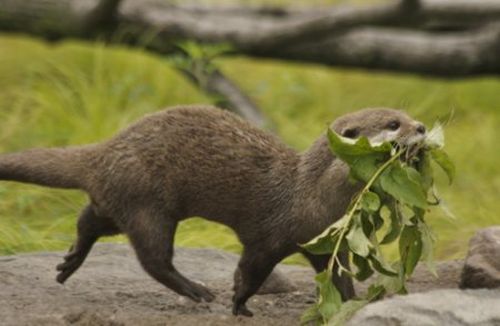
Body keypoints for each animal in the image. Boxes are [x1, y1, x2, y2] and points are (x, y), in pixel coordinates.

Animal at [0, 106, 426, 316]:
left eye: (408, 114)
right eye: (393, 124)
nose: (422, 127)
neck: (307, 196)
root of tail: (107, 149)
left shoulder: (325, 243)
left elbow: (338, 278)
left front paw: (354, 301)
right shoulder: (268, 238)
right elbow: (251, 270)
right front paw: (238, 303)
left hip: (122, 200)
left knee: (89, 219)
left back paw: (68, 263)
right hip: (148, 205)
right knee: (153, 258)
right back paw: (197, 290)